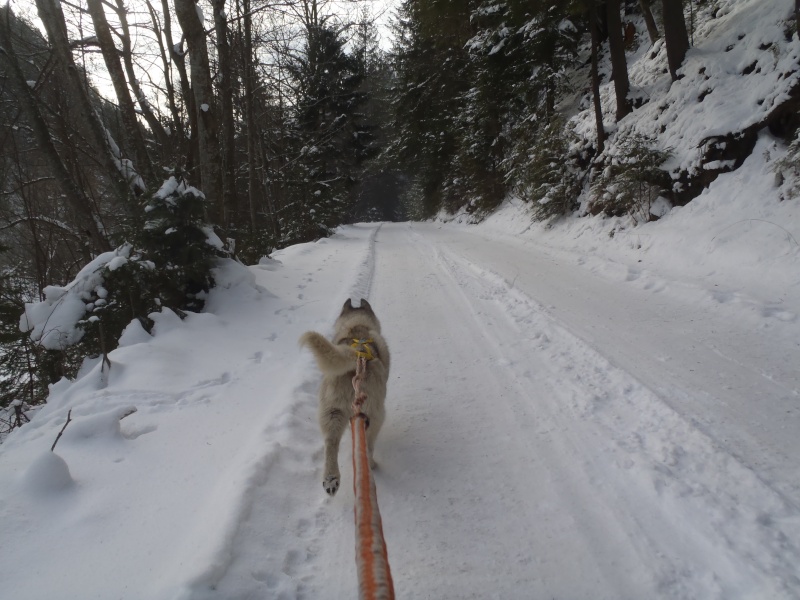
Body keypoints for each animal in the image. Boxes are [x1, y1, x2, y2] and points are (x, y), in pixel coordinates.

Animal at [298, 298, 390, 494]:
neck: (357, 326)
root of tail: (355, 354)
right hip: (375, 415)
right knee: (368, 444)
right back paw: (370, 465)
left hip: (332, 411)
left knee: (331, 442)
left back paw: (331, 479)